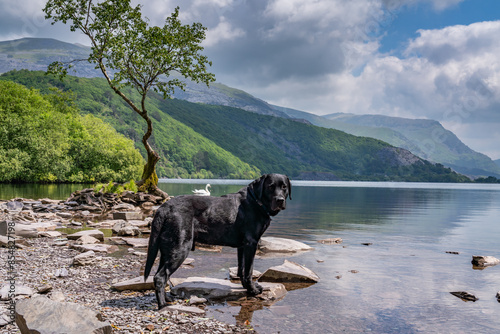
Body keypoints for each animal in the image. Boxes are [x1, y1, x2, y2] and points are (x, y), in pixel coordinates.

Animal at [145, 174, 292, 310]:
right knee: (159, 277)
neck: (256, 201)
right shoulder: (251, 243)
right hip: (180, 249)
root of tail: (164, 207)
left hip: (167, 251)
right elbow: (249, 271)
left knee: (161, 276)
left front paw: (246, 287)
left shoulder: (242, 246)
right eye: (270, 186)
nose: (280, 200)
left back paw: (167, 298)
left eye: (284, 187)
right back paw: (163, 305)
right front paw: (253, 290)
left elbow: (241, 269)